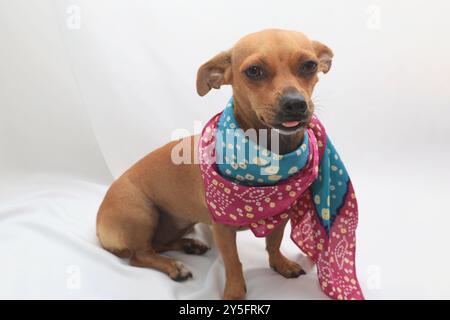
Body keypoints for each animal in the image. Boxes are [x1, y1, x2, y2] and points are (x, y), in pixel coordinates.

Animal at [96, 28, 334, 300]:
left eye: (310, 65)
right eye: (254, 71)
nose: (295, 103)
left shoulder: (280, 215)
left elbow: (273, 244)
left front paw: (280, 264)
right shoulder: (222, 229)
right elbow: (233, 262)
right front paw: (234, 292)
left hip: (179, 222)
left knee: (158, 245)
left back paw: (189, 245)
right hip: (142, 214)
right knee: (140, 256)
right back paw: (174, 267)